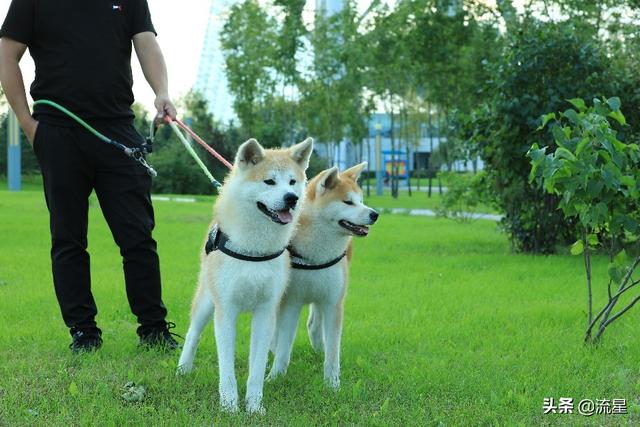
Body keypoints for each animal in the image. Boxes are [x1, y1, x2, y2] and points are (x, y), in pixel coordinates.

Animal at [178, 137, 312, 414]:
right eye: (269, 181)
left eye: (292, 182)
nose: (292, 198)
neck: (254, 250)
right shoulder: (226, 310)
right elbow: (226, 369)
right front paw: (229, 405)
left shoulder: (265, 311)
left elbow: (257, 368)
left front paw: (254, 406)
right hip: (207, 301)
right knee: (193, 333)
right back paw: (183, 368)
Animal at [268, 164, 378, 392]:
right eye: (348, 202)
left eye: (361, 200)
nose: (375, 214)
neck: (316, 256)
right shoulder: (291, 301)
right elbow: (284, 345)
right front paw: (276, 376)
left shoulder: (333, 301)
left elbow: (334, 350)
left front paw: (332, 383)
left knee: (315, 325)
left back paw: (319, 349)